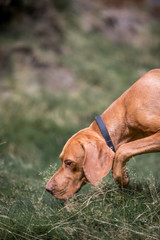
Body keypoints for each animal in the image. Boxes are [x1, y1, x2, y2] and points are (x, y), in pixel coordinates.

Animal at [45, 69, 160, 199]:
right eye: (61, 159)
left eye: (69, 163)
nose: (47, 188)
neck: (125, 111)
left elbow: (122, 150)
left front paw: (122, 178)